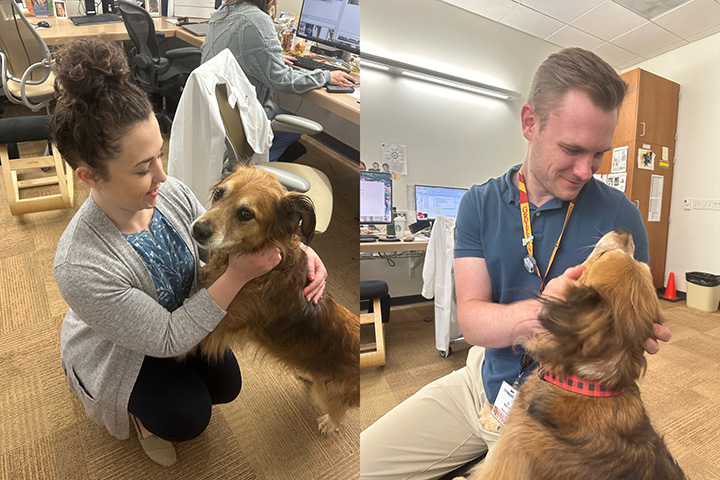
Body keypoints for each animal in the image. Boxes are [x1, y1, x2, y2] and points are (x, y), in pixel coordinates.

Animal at [190, 164, 360, 436]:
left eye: (246, 214)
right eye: (218, 194)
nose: (198, 230)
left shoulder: (219, 325)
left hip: (330, 392)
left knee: (338, 409)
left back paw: (330, 422)